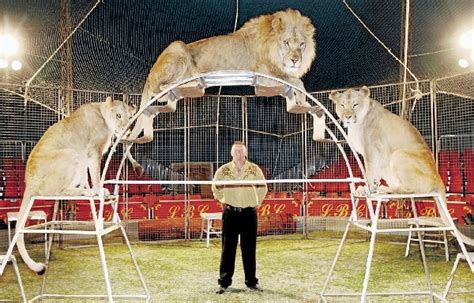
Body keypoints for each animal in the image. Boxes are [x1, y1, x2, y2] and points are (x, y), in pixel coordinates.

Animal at [15, 98, 136, 274]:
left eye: (130, 117)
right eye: (118, 115)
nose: (126, 130)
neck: (102, 113)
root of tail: (28, 183)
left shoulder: (86, 157)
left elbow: (87, 177)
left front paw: (91, 188)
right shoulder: (93, 150)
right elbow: (95, 175)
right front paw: (98, 190)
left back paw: (83, 191)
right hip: (70, 153)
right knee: (59, 192)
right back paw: (85, 193)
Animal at [128, 7, 316, 144]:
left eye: (301, 44)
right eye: (286, 42)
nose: (295, 60)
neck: (271, 49)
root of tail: (149, 75)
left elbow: (295, 81)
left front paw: (302, 101)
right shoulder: (263, 75)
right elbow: (296, 81)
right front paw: (303, 99)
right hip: (178, 46)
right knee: (162, 88)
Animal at [330, 86, 474, 247]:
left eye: (355, 104)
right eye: (342, 105)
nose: (347, 116)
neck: (356, 124)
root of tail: (440, 181)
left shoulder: (372, 148)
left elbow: (369, 172)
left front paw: (367, 189)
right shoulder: (377, 155)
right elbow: (374, 174)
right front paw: (369, 188)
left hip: (399, 155)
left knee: (411, 191)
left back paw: (386, 189)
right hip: (388, 164)